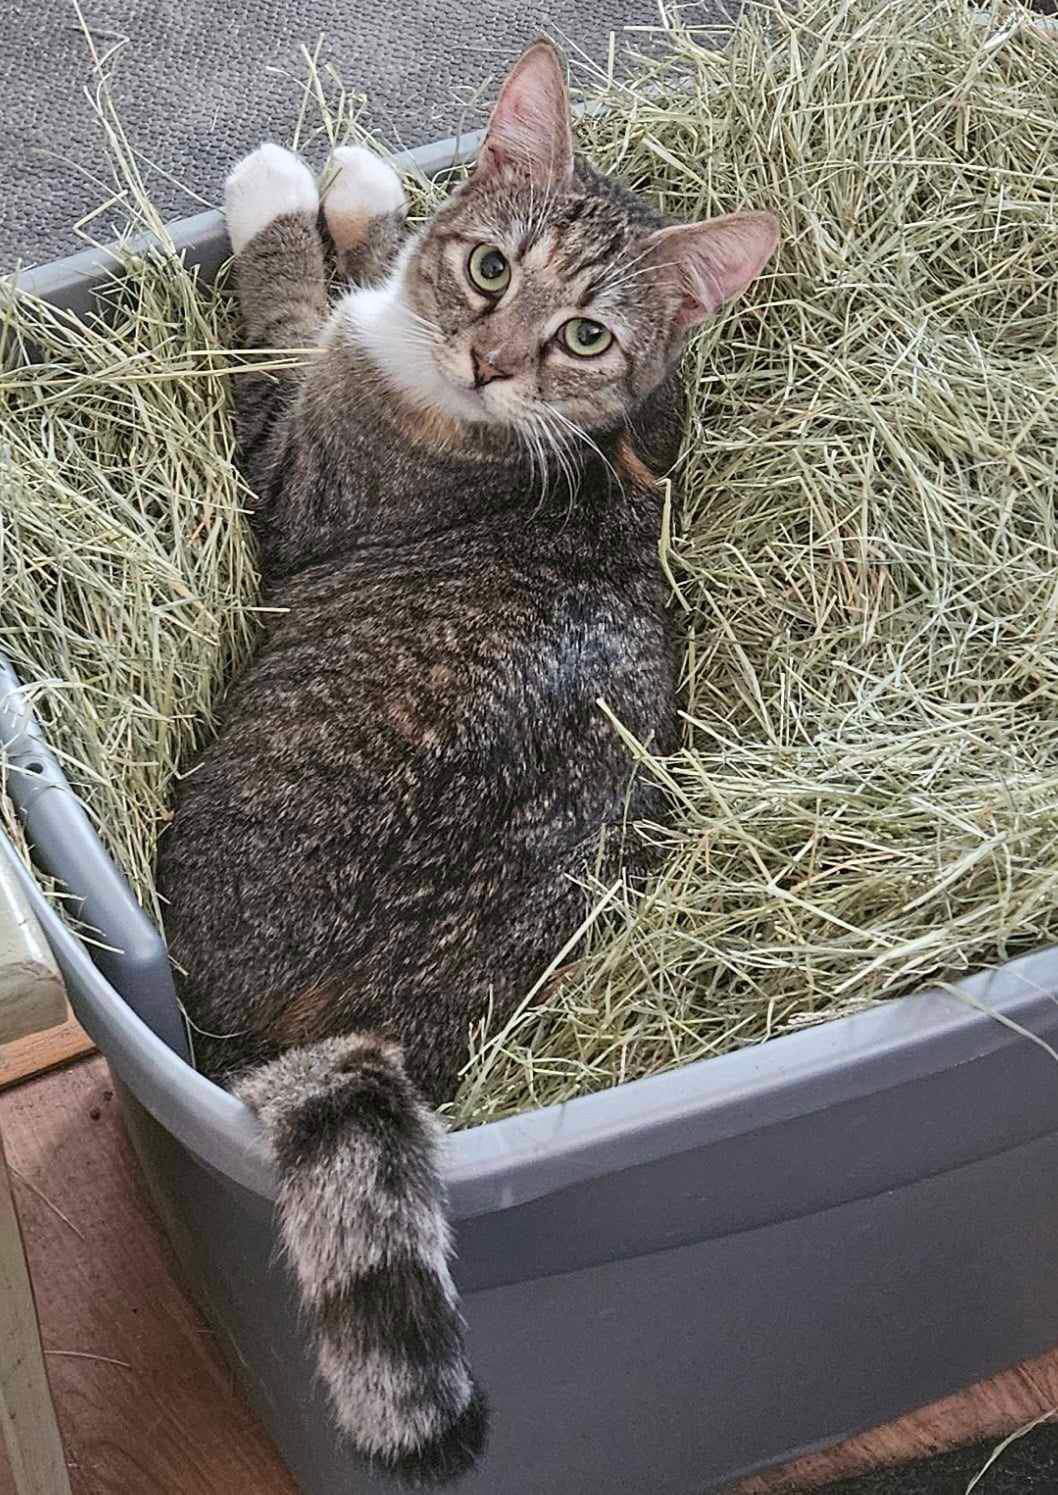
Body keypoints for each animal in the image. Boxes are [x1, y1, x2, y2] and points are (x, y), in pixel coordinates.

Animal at [156, 40, 783, 1489]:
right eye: (494, 267)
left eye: (585, 335)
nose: (490, 361)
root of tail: (368, 1016)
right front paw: (367, 191)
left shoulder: (288, 473)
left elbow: (280, 319)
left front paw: (284, 191)